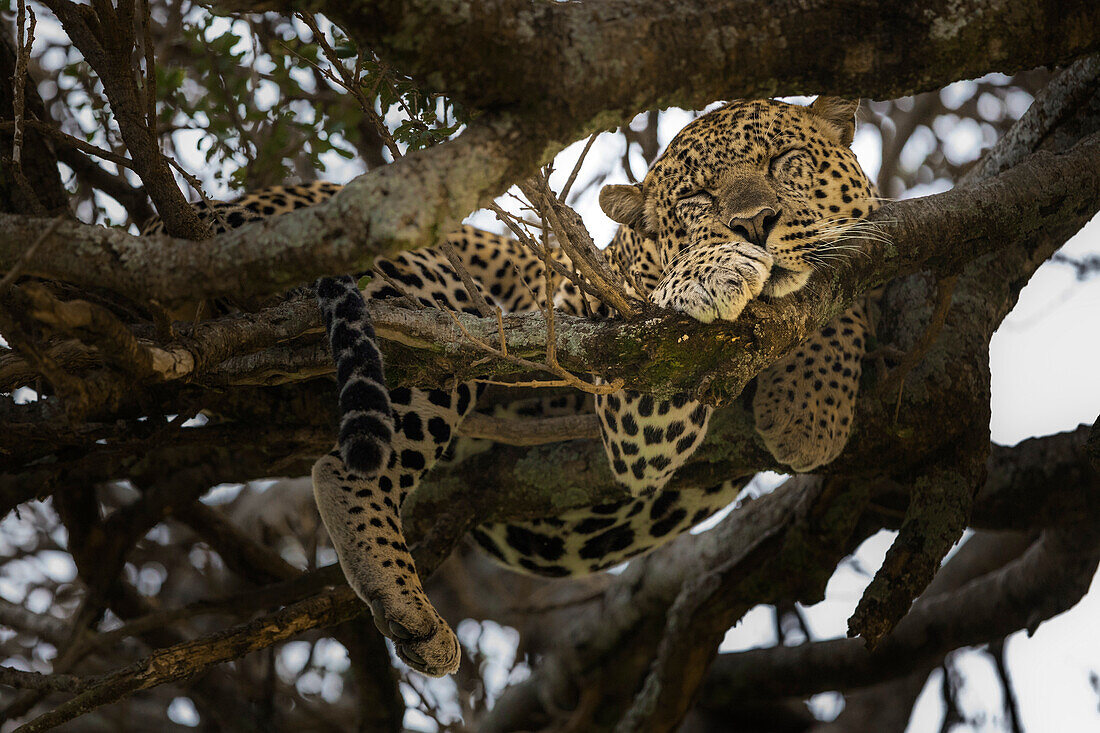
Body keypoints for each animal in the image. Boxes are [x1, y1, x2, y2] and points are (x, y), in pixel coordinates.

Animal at [144, 95, 875, 673]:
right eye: (696, 200)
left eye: (785, 161)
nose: (752, 223)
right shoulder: (625, 387)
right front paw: (718, 272)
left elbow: (845, 277)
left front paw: (809, 404)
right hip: (440, 309)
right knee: (347, 468)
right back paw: (408, 607)